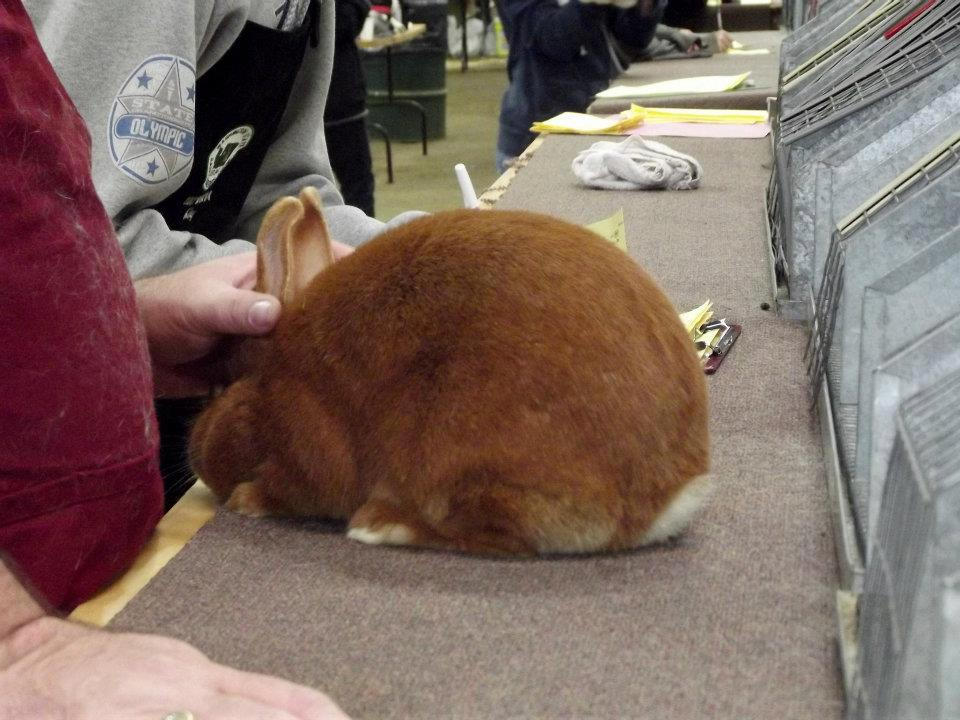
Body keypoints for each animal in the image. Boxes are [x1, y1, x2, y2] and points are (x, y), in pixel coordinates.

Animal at [189, 187, 711, 556]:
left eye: (217, 389)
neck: (274, 375)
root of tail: (668, 496)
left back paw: (381, 527)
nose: (194, 455)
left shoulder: (307, 450)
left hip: (458, 462)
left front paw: (245, 500)